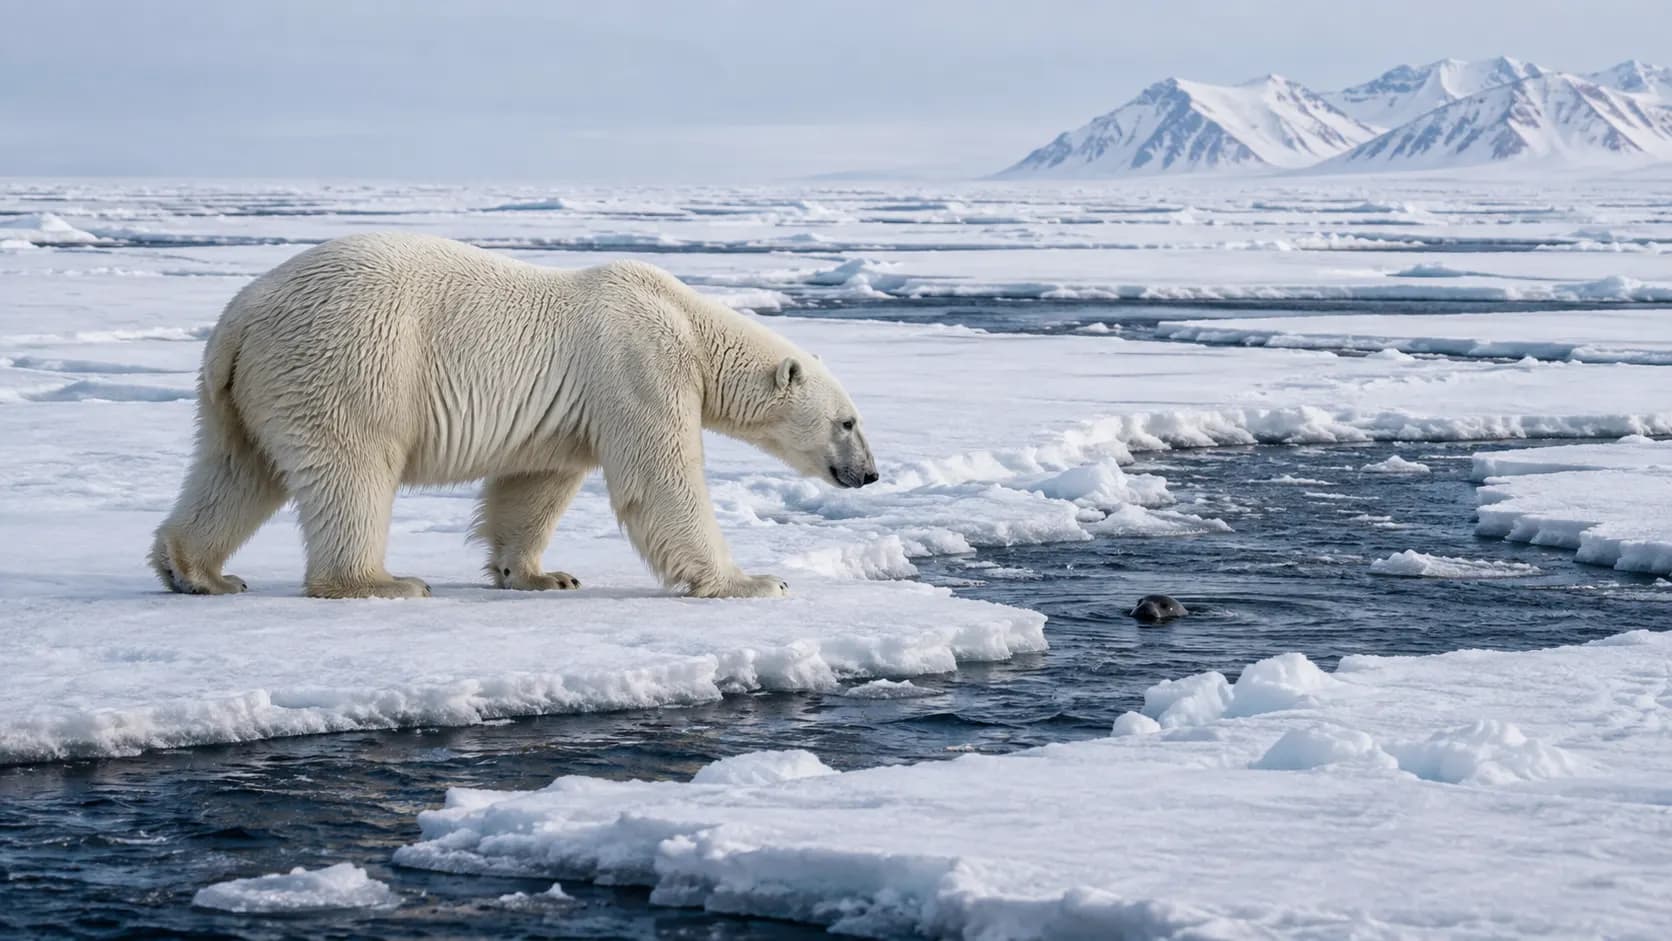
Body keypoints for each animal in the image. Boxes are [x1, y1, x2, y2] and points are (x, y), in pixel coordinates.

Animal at [148, 232, 877, 600]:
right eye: (848, 422)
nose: (868, 474)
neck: (690, 326)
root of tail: (238, 319)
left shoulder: (570, 410)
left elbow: (534, 484)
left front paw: (540, 574)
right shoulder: (638, 364)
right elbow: (661, 479)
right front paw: (754, 580)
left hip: (243, 390)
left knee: (236, 469)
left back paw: (198, 572)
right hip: (351, 358)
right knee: (352, 467)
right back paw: (380, 581)